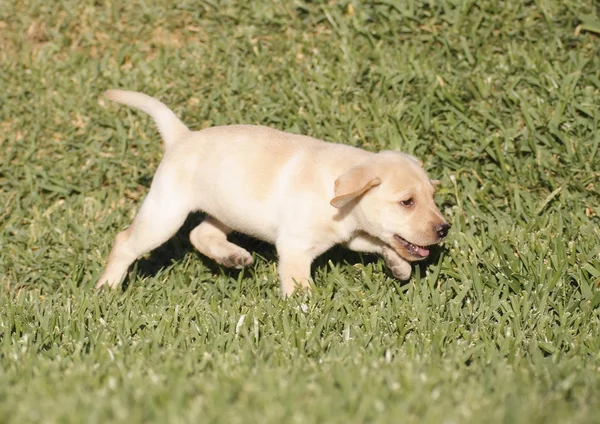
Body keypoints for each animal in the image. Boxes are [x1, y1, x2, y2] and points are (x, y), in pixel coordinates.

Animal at [96, 90, 448, 294]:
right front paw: (309, 315)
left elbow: (380, 242)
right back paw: (106, 289)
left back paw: (232, 256)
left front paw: (399, 266)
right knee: (124, 242)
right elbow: (300, 286)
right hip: (165, 213)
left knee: (201, 233)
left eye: (432, 197)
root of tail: (182, 136)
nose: (444, 229)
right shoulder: (295, 248)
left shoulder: (350, 234)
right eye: (407, 202)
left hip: (228, 209)